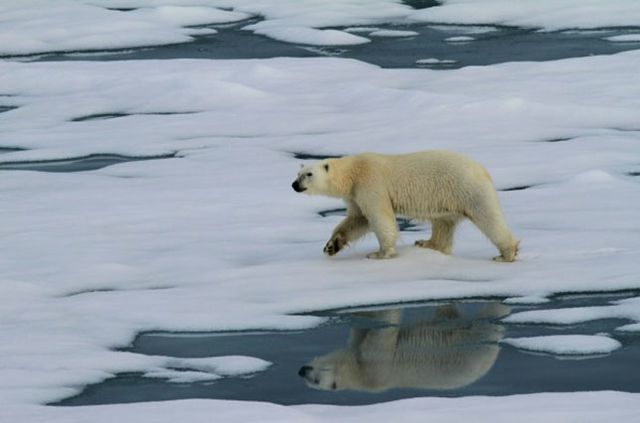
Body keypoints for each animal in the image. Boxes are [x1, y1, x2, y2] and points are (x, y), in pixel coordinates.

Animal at [291, 150, 519, 261]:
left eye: (308, 174)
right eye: (297, 173)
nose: (294, 185)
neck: (353, 171)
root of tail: (481, 168)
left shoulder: (371, 183)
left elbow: (379, 217)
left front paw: (380, 254)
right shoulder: (355, 194)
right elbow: (358, 219)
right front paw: (332, 245)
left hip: (467, 188)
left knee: (489, 217)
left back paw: (506, 254)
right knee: (443, 223)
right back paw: (427, 243)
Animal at [298, 303, 509, 392]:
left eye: (316, 380)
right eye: (311, 383)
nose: (301, 371)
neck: (359, 375)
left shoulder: (375, 366)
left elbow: (383, 332)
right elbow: (362, 330)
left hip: (475, 345)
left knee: (487, 321)